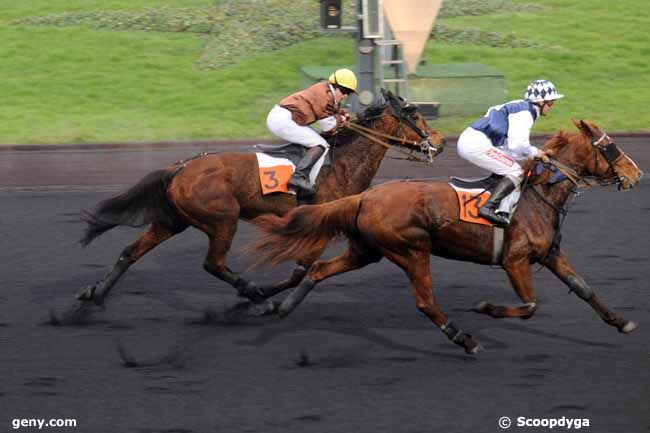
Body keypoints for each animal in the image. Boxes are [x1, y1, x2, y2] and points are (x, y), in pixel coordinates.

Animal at [74, 91, 440, 308]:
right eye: (414, 114)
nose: (439, 142)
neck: (342, 161)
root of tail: (180, 167)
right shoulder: (318, 226)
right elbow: (299, 272)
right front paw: (263, 294)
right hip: (222, 219)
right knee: (213, 263)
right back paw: (249, 290)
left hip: (172, 221)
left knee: (130, 252)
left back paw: (94, 294)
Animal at [248, 117, 644, 352]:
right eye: (609, 146)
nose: (636, 173)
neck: (537, 196)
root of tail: (365, 196)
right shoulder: (515, 260)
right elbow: (531, 305)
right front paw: (487, 308)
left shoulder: (550, 254)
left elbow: (583, 288)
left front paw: (621, 322)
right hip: (411, 250)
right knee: (425, 301)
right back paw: (463, 338)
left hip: (367, 251)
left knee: (317, 270)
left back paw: (280, 306)